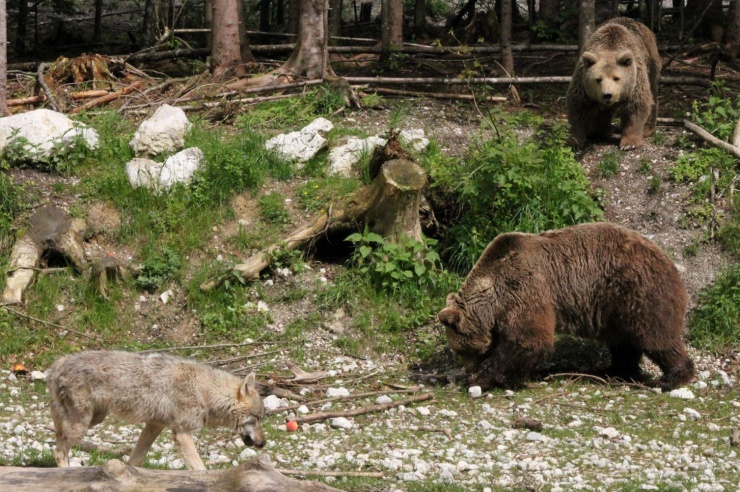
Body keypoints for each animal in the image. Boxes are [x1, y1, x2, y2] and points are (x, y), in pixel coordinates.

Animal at [436, 224, 692, 392]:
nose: (468, 369)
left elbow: (528, 339)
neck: (495, 295)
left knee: (656, 336)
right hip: (617, 308)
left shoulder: (527, 289)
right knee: (624, 343)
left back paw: (671, 377)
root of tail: (669, 261)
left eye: (461, 350)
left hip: (638, 291)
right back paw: (614, 371)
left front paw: (481, 378)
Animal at [568, 17, 660, 150]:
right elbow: (578, 107)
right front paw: (574, 141)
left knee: (652, 94)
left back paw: (647, 129)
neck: (609, 48)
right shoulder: (582, 82)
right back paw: (599, 133)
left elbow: (636, 106)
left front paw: (629, 143)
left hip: (651, 64)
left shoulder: (636, 79)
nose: (607, 95)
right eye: (598, 79)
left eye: (616, 78)